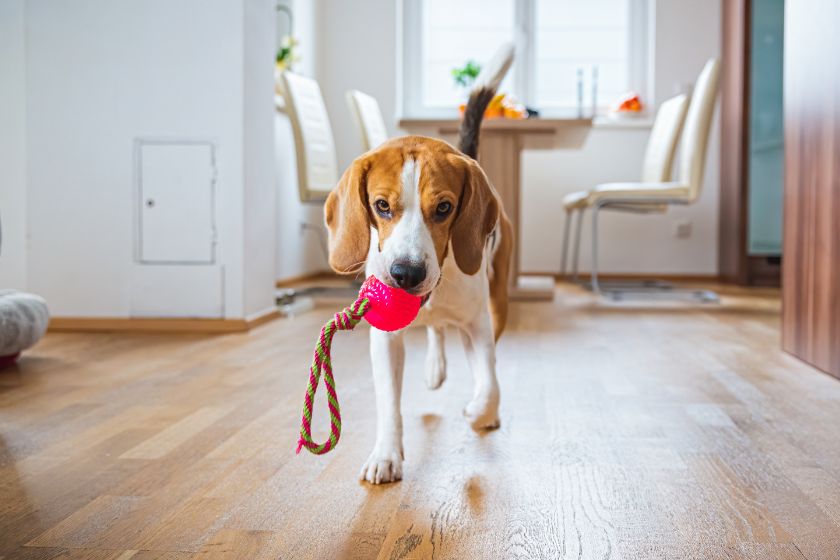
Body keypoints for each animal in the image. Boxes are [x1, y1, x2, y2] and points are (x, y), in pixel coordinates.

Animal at [324, 85, 512, 484]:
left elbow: (490, 383)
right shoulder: (385, 340)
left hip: (498, 303)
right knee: (435, 330)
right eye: (381, 205)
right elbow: (388, 403)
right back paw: (434, 367)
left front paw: (479, 411)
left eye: (444, 208)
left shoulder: (478, 325)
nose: (406, 274)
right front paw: (386, 454)